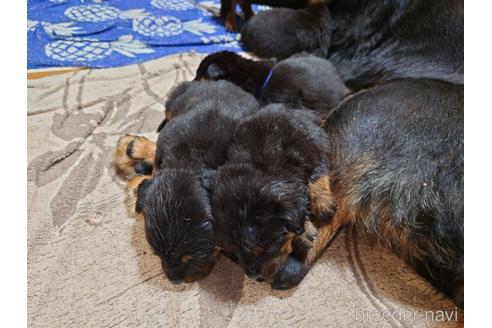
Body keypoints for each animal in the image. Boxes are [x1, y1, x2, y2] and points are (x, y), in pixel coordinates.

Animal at [213, 104, 336, 284]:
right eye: (232, 253)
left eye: (262, 248)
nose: (254, 278)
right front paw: (304, 234)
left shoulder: (313, 147)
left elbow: (316, 177)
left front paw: (323, 206)